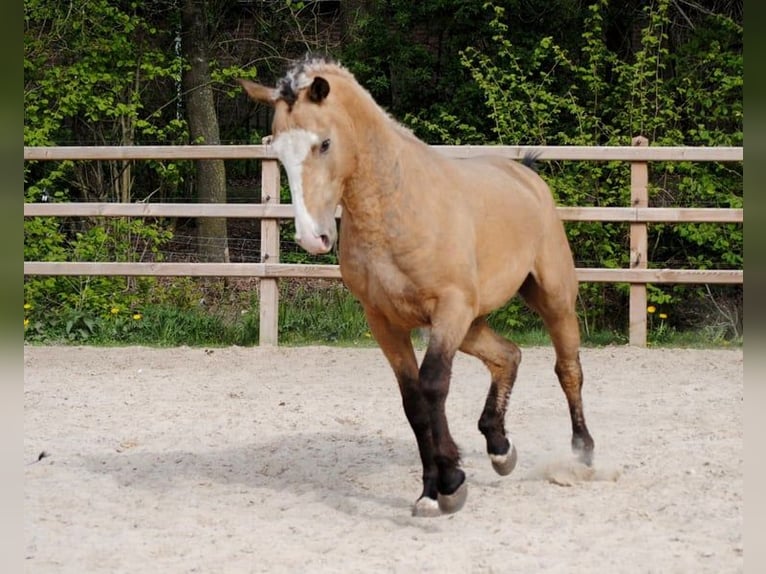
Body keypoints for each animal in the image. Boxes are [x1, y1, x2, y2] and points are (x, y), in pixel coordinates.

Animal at [239, 55, 594, 517]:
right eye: (279, 152)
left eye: (324, 144)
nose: (312, 237)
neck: (396, 208)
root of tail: (526, 175)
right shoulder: (386, 322)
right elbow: (414, 402)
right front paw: (433, 490)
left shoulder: (449, 309)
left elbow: (432, 387)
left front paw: (451, 482)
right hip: (472, 323)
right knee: (508, 356)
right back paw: (499, 447)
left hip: (552, 299)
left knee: (567, 368)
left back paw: (582, 454)